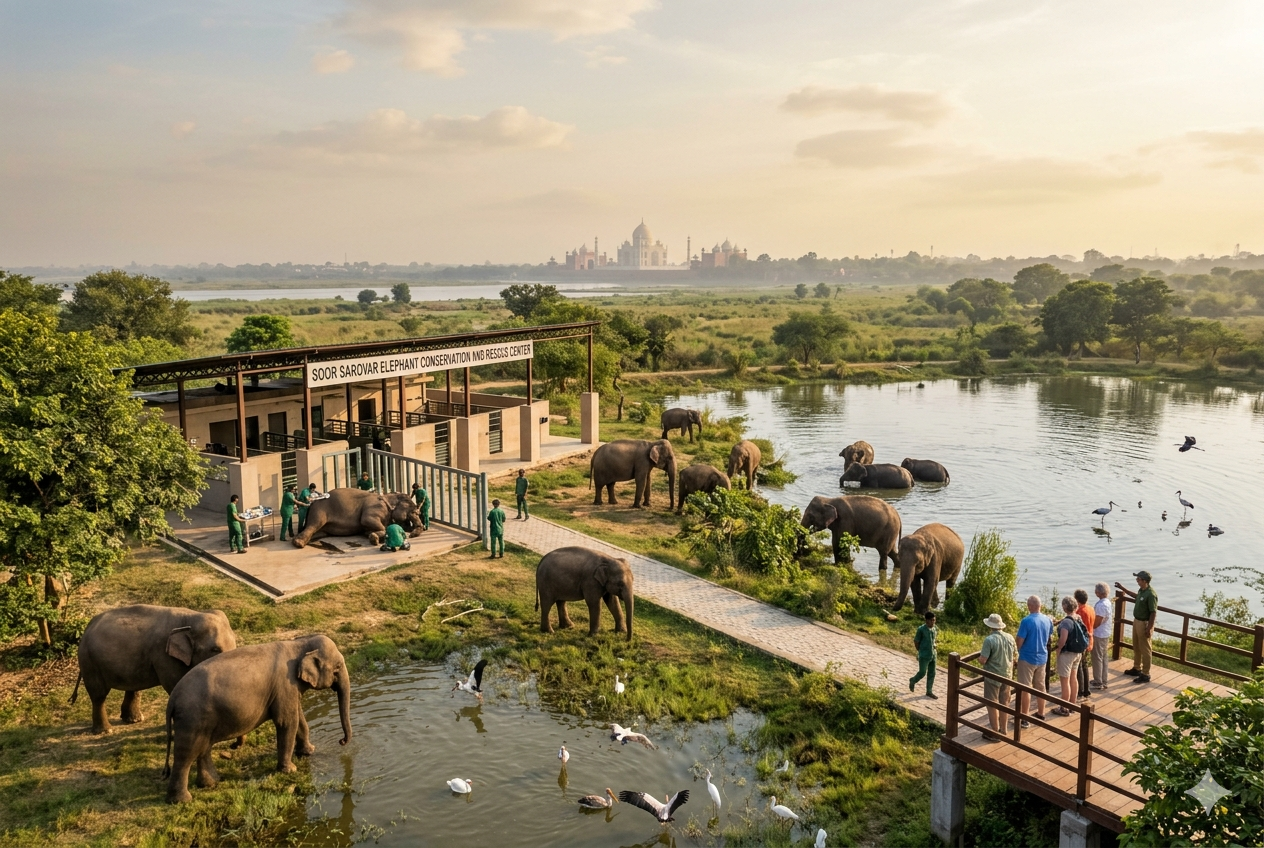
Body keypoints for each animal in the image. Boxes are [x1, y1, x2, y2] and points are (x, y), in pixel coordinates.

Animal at [73, 605, 237, 735]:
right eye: (215, 649)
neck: (190, 617)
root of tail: (88, 626)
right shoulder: (164, 656)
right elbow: (174, 684)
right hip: (89, 661)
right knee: (98, 695)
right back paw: (106, 730)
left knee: (133, 686)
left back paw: (134, 720)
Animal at [164, 634, 351, 803]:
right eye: (337, 667)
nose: (342, 741)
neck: (299, 643)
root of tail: (172, 698)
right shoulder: (285, 685)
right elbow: (287, 722)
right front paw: (290, 770)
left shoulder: (288, 689)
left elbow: (298, 718)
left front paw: (309, 751)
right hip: (192, 718)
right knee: (186, 754)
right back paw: (182, 800)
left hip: (202, 719)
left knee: (204, 747)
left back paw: (211, 783)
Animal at [293, 488, 422, 547]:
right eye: (412, 510)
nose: (412, 535)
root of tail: (312, 503)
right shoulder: (374, 507)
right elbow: (366, 520)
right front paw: (374, 539)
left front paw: (371, 535)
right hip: (319, 512)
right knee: (313, 525)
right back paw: (298, 543)